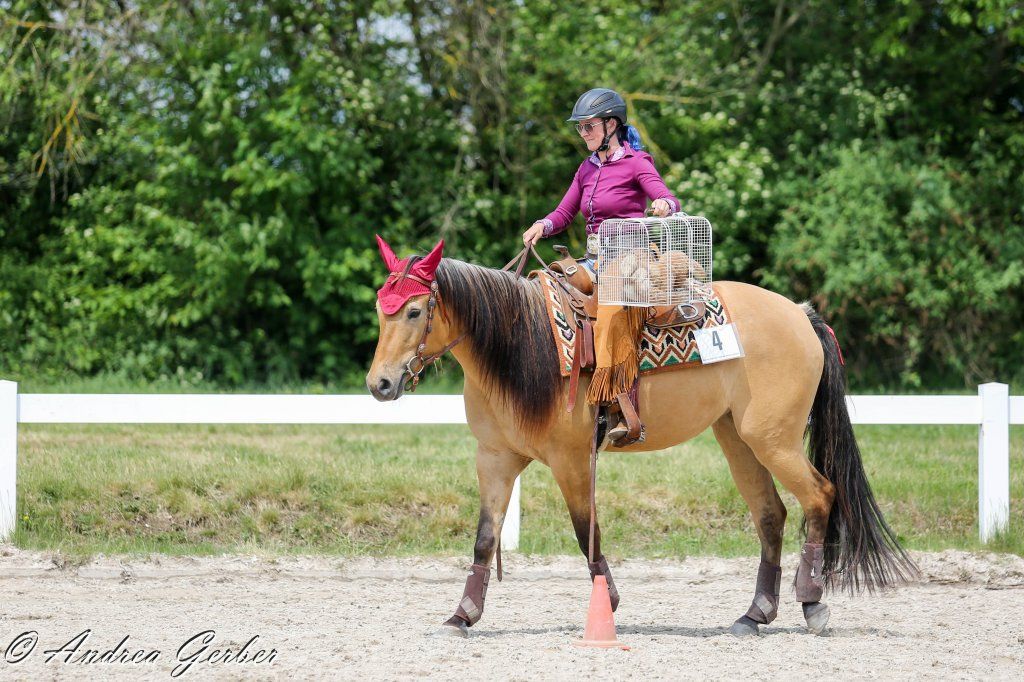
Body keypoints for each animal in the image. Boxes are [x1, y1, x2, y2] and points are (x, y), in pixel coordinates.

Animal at [365, 236, 917, 638]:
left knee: (821, 496)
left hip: (773, 439)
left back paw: (812, 603)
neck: (520, 347)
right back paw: (754, 614)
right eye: (379, 309)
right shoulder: (495, 459)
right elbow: (484, 539)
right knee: (771, 515)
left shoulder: (571, 460)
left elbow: (585, 533)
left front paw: (606, 603)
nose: (380, 384)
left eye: (414, 311)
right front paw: (462, 615)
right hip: (739, 438)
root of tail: (800, 313)